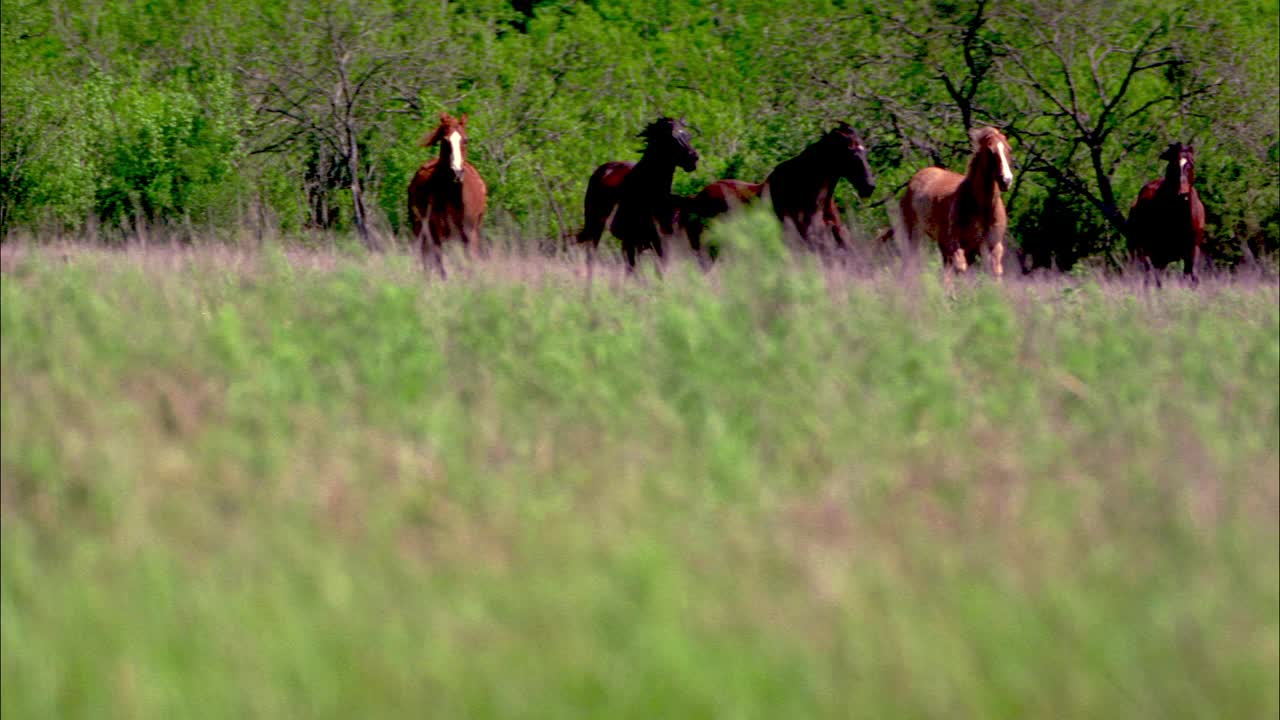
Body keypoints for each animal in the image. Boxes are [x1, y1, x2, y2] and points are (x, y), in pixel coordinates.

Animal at [409, 112, 488, 278]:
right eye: (445, 141)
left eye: (465, 140)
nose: (457, 172)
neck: (454, 197)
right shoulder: (438, 233)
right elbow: (441, 265)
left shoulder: (469, 233)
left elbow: (469, 264)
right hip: (422, 230)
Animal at [578, 116, 701, 272]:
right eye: (672, 137)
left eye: (688, 135)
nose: (694, 158)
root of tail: (604, 169)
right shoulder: (634, 240)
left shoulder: (660, 242)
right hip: (597, 227)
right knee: (592, 257)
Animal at [896, 127, 1013, 275]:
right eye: (990, 150)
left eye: (1009, 149)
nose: (1006, 180)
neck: (981, 207)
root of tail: (915, 179)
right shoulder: (956, 244)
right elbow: (961, 269)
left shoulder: (992, 246)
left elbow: (995, 273)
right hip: (914, 235)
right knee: (910, 265)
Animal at [1126, 140, 1203, 283]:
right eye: (1174, 165)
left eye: (1191, 164)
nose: (1183, 193)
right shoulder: (1159, 253)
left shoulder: (1192, 249)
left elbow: (1192, 277)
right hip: (1143, 251)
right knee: (1149, 276)